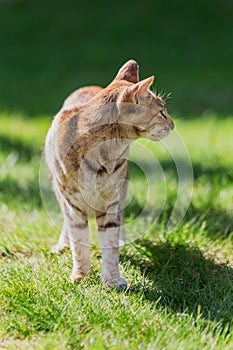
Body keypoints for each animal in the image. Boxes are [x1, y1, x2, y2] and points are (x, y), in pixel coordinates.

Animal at [44, 60, 174, 288]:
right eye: (161, 112)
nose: (173, 125)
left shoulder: (111, 202)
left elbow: (111, 245)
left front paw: (112, 280)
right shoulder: (72, 204)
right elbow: (79, 245)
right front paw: (81, 275)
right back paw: (62, 245)